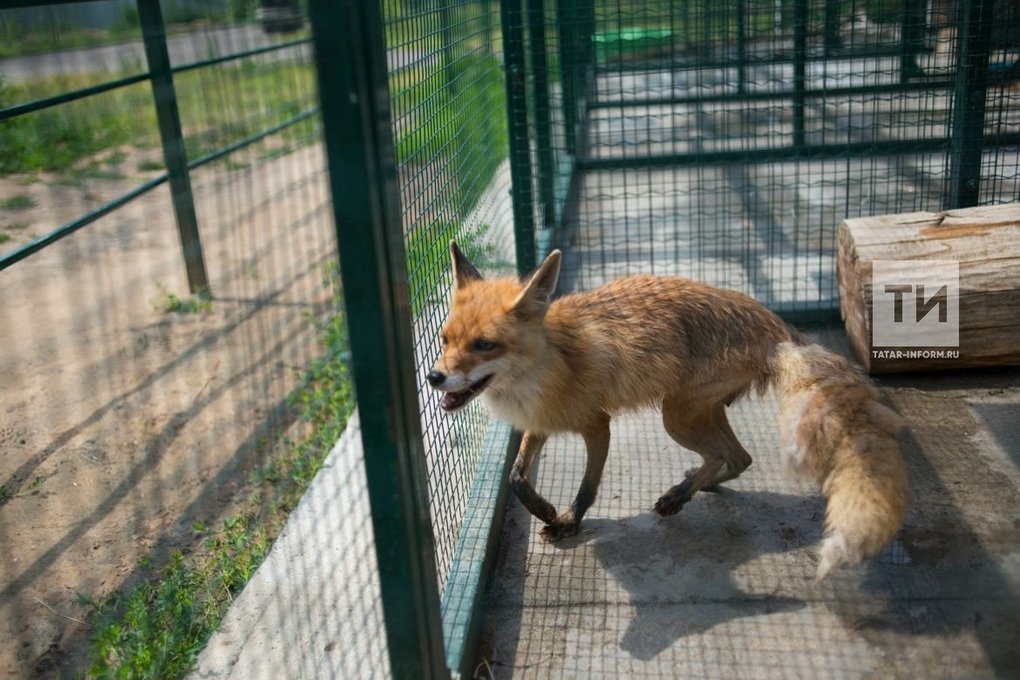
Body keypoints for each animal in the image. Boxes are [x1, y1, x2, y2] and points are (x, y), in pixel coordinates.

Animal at [428, 241, 909, 579]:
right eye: (445, 339)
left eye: (484, 345)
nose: (433, 377)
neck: (550, 364)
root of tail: (772, 323)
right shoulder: (540, 424)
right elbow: (516, 479)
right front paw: (545, 510)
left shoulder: (596, 425)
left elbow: (587, 487)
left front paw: (568, 522)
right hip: (696, 412)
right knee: (740, 457)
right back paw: (699, 486)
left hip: (675, 416)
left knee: (723, 455)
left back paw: (679, 496)